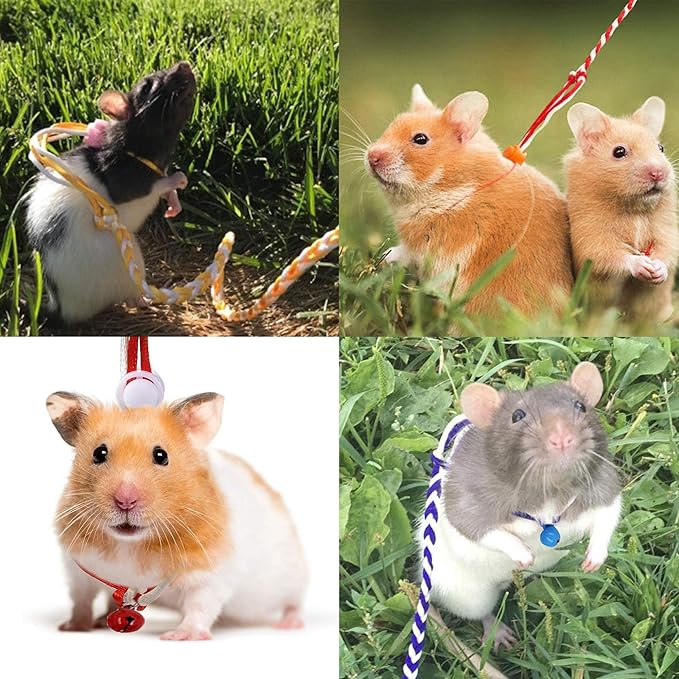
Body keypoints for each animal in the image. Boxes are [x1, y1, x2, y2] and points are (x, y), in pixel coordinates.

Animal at [25, 61, 197, 325]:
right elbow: (153, 186)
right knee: (128, 295)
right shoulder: (126, 181)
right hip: (128, 266)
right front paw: (176, 179)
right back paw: (142, 300)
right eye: (147, 87)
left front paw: (173, 203)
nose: (184, 64)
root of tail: (63, 308)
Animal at [46, 391, 308, 640]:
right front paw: (72, 628)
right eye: (99, 453)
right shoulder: (78, 570)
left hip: (292, 576)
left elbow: (199, 606)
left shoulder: (210, 573)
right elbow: (81, 600)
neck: (130, 544)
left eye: (161, 456)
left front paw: (179, 636)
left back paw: (289, 624)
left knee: (295, 601)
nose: (125, 501)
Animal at [365, 85, 574, 320]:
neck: (454, 189)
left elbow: (405, 253)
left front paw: (384, 257)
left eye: (420, 139)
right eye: (391, 126)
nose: (371, 157)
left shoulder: (428, 246)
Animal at [419, 362, 621, 651]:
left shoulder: (602, 481)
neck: (550, 494)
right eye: (517, 415)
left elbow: (608, 513)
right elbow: (475, 527)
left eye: (580, 406)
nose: (562, 438)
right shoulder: (467, 497)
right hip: (467, 594)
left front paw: (595, 556)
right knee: (481, 612)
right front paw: (522, 552)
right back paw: (496, 631)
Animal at [564, 97, 678, 324]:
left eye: (660, 148)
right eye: (619, 152)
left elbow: (668, 250)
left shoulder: (667, 231)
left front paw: (656, 270)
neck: (634, 209)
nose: (658, 173)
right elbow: (610, 256)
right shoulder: (591, 238)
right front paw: (644, 265)